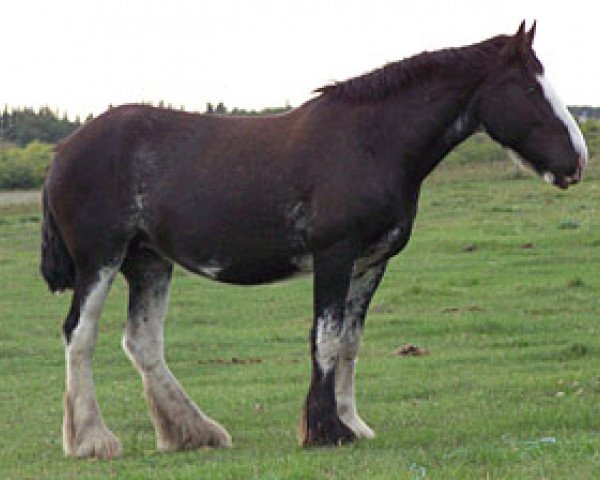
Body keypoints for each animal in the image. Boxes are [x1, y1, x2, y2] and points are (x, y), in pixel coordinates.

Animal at [41, 21, 584, 458]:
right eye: (529, 87)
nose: (576, 161)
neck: (369, 141)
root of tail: (65, 149)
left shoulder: (370, 263)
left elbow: (349, 341)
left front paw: (352, 423)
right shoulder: (334, 255)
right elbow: (324, 338)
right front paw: (326, 431)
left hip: (149, 261)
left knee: (143, 342)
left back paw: (193, 433)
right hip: (101, 259)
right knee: (79, 335)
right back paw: (92, 441)